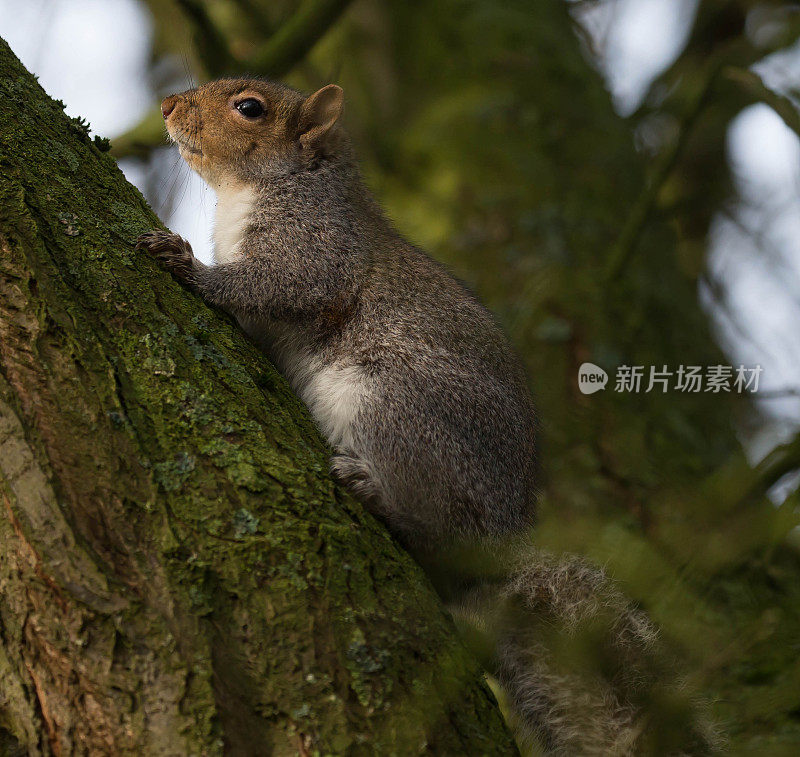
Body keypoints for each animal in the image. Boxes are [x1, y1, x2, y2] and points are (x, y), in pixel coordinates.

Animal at [134, 79, 716, 752]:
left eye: (249, 108)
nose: (168, 106)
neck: (266, 187)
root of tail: (502, 543)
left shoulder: (315, 241)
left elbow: (281, 284)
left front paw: (189, 267)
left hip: (395, 410)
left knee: (433, 528)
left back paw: (378, 495)